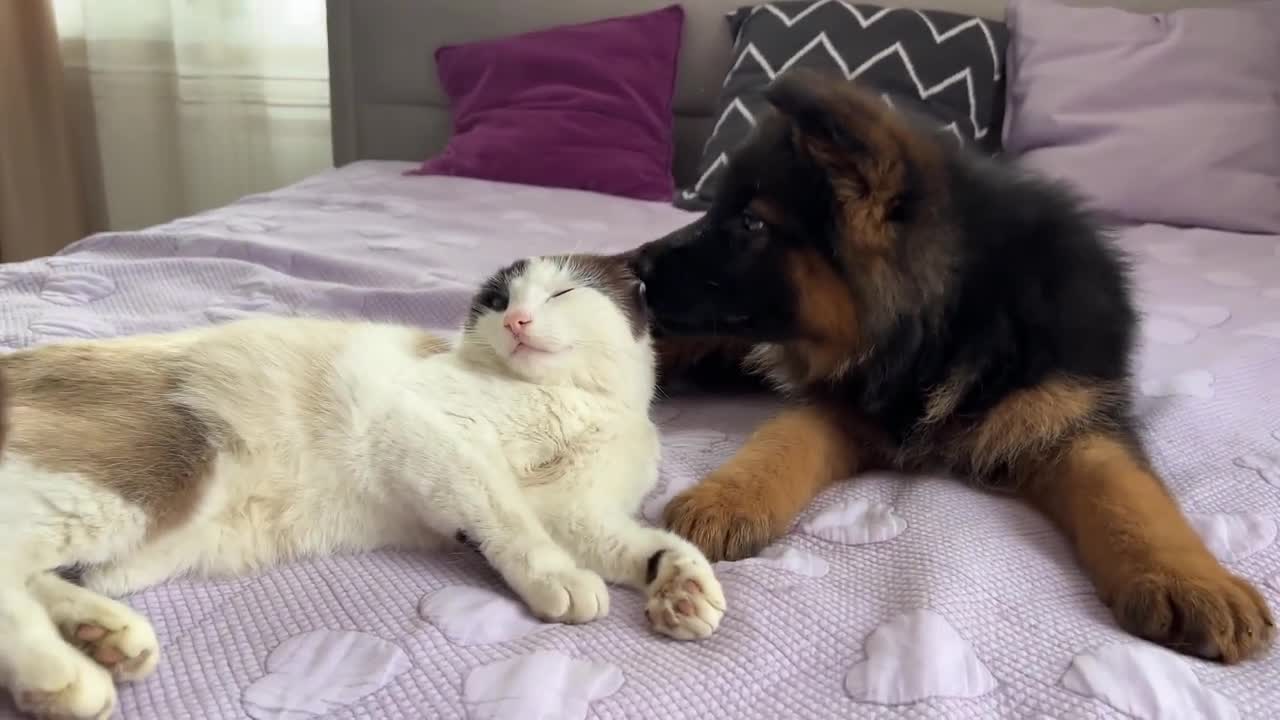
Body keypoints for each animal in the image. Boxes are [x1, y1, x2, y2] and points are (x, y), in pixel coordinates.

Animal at [0, 254, 727, 717]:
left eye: (561, 295)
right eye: (498, 302)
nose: (517, 322)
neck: (581, 404)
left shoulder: (577, 511)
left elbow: (642, 543)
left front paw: (682, 590)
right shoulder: (430, 433)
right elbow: (509, 517)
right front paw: (562, 580)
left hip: (137, 547)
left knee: (41, 574)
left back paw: (104, 637)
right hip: (149, 476)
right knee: (10, 564)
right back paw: (65, 678)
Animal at [624, 68, 1274, 661]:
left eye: (751, 223)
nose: (638, 267)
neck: (960, 316)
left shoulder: (1069, 414)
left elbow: (1127, 490)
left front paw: (1190, 580)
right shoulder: (855, 400)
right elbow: (785, 436)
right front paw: (729, 495)